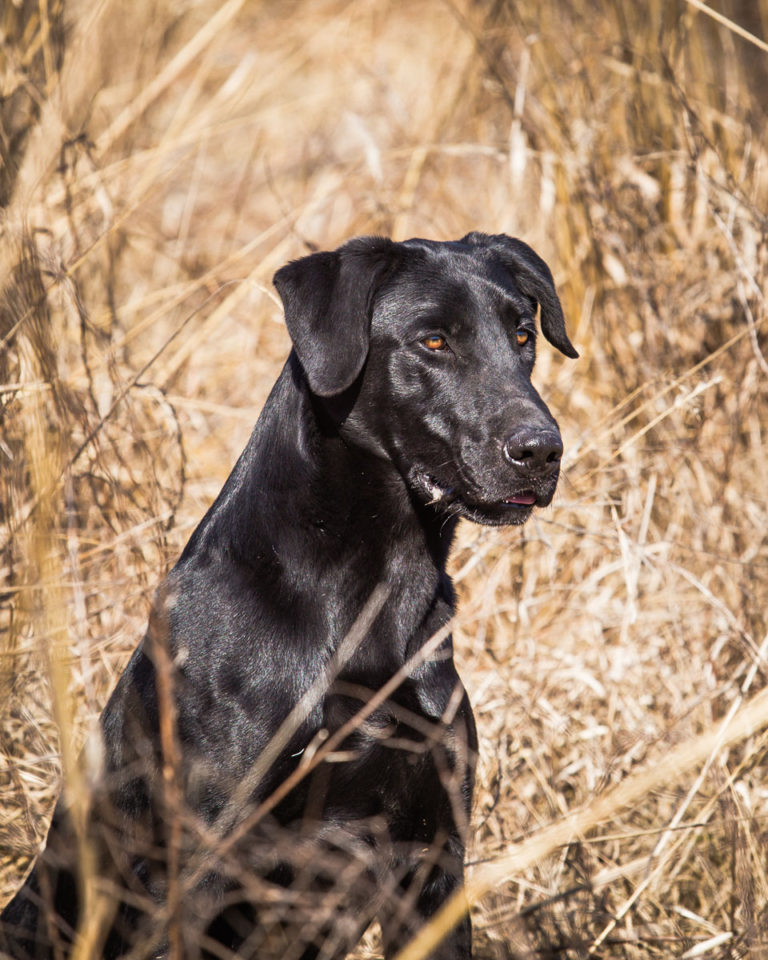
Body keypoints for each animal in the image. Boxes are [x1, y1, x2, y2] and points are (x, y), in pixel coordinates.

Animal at [0, 234, 576, 960]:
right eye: (434, 341)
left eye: (523, 335)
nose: (544, 450)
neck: (376, 592)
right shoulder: (202, 868)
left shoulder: (433, 864)